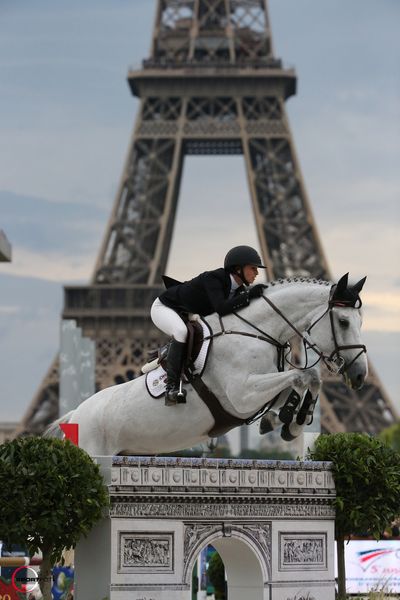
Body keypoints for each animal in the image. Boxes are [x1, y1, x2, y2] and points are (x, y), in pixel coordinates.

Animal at [45, 274, 368, 458]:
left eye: (361, 321)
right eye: (343, 322)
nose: (359, 375)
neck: (258, 331)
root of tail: (75, 415)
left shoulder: (259, 392)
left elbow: (307, 379)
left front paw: (287, 421)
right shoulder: (242, 395)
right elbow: (304, 376)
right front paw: (291, 419)